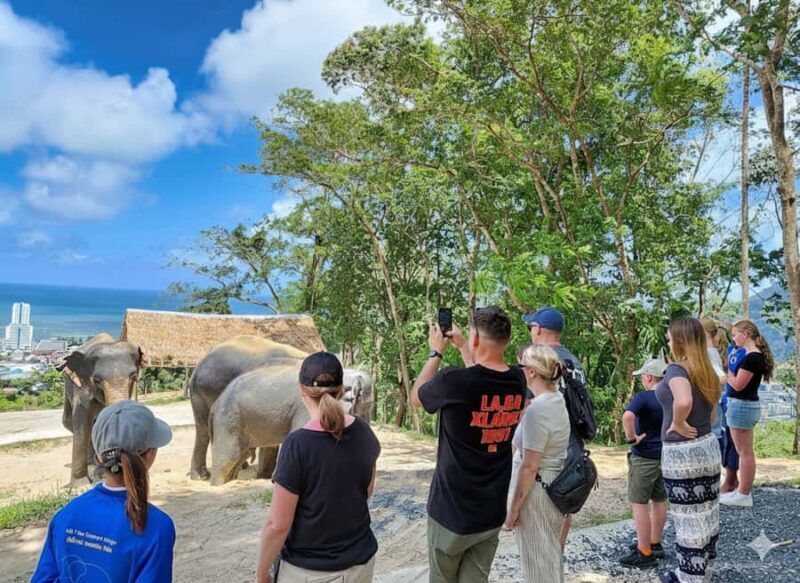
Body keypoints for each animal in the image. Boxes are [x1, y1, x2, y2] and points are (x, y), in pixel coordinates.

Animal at [57, 333, 143, 487]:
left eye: (133, 376)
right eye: (96, 380)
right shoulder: (81, 389)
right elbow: (81, 423)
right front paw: (80, 485)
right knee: (69, 422)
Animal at [188, 335, 310, 480]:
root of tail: (197, 367)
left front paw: (264, 476)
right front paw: (263, 476)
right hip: (206, 393)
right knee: (204, 431)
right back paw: (201, 476)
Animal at [208, 361, 375, 485]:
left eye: (369, 408)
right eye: (364, 409)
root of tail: (215, 404)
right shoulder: (306, 410)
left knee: (239, 457)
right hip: (228, 421)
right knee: (229, 458)